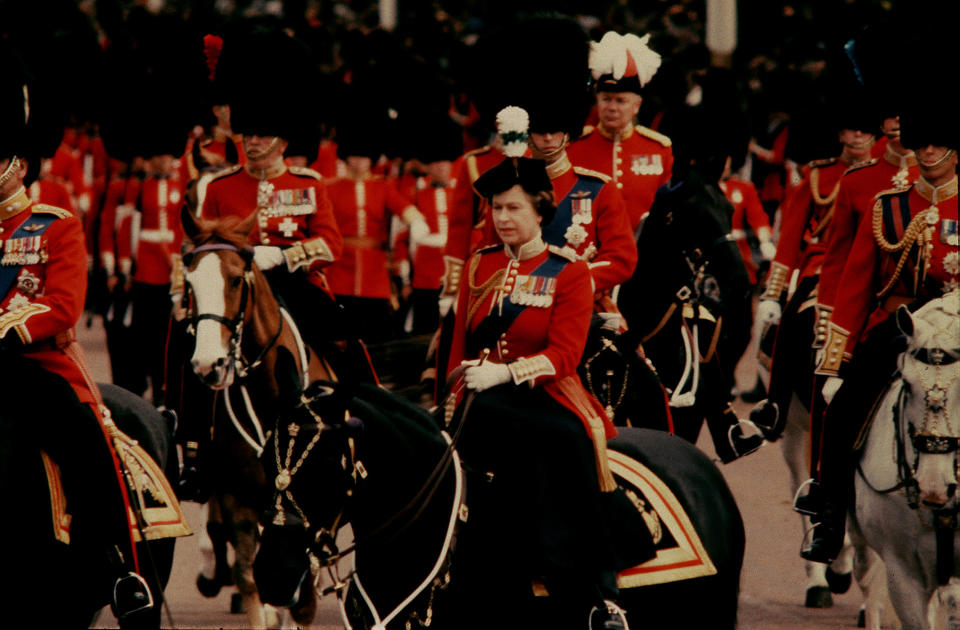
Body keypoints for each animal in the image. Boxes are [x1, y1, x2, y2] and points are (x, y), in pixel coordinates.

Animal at [173, 210, 338, 628]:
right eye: (191, 282)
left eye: (235, 279)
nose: (208, 364)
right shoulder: (239, 499)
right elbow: (251, 578)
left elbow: (303, 597)